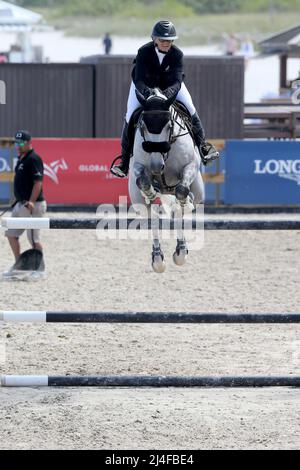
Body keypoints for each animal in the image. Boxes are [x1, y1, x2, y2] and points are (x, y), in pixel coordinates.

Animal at [127, 89, 205, 272]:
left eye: (169, 126)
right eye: (143, 127)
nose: (156, 166)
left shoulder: (190, 165)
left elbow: (182, 191)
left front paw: (186, 201)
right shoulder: (138, 166)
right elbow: (143, 181)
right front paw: (150, 191)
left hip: (198, 190)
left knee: (180, 205)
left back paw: (181, 251)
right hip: (137, 200)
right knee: (152, 216)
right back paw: (158, 259)